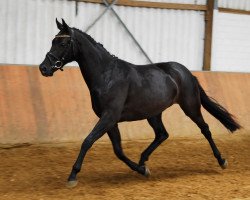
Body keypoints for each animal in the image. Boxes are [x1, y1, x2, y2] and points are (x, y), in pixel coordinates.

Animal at [39, 19, 240, 187]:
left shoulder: (109, 117)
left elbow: (87, 141)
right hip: (154, 113)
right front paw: (142, 170)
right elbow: (118, 151)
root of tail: (187, 73)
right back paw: (143, 160)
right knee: (162, 134)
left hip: (190, 107)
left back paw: (221, 160)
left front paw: (73, 176)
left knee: (204, 129)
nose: (44, 68)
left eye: (62, 43)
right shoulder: (110, 121)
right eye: (52, 41)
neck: (107, 75)